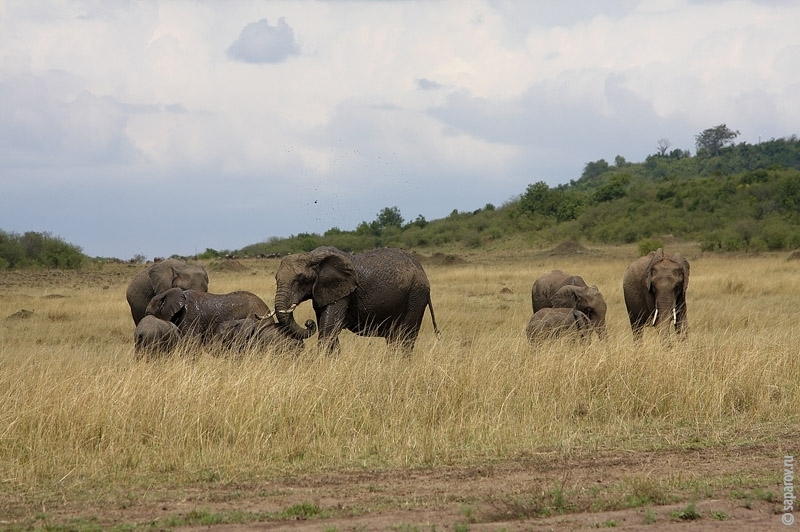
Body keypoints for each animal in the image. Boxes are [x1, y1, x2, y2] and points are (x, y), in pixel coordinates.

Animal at [272, 247, 440, 356]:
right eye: (275, 279)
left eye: (301, 279)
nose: (308, 323)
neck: (313, 256)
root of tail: (422, 271)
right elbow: (327, 327)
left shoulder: (343, 291)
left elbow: (329, 328)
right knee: (395, 338)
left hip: (416, 295)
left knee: (405, 337)